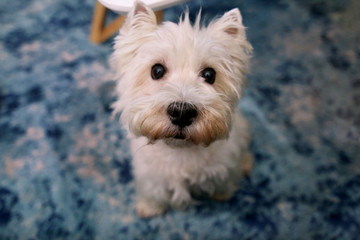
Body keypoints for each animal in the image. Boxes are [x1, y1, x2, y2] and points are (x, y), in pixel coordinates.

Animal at [112, 0, 253, 218]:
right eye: (157, 70)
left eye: (209, 74)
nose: (181, 113)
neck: (180, 150)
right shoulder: (149, 174)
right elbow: (153, 191)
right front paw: (149, 207)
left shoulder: (226, 165)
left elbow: (226, 180)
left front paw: (223, 194)